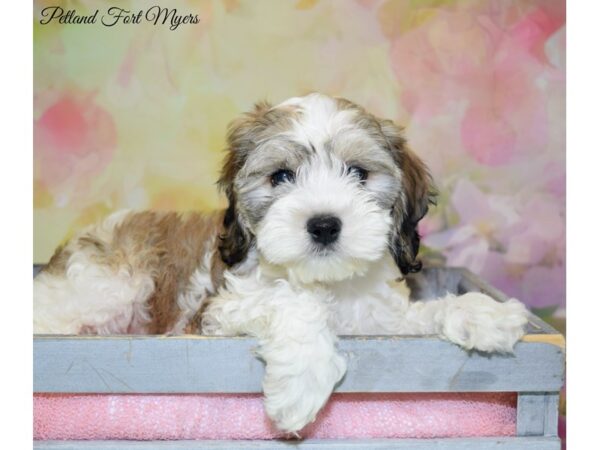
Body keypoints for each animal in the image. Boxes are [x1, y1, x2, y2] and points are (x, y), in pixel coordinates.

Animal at [34, 91, 528, 432]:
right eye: (281, 176)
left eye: (359, 173)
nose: (324, 225)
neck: (326, 283)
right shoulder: (216, 313)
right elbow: (292, 302)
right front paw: (303, 380)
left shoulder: (381, 323)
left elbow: (423, 315)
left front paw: (484, 314)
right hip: (110, 289)